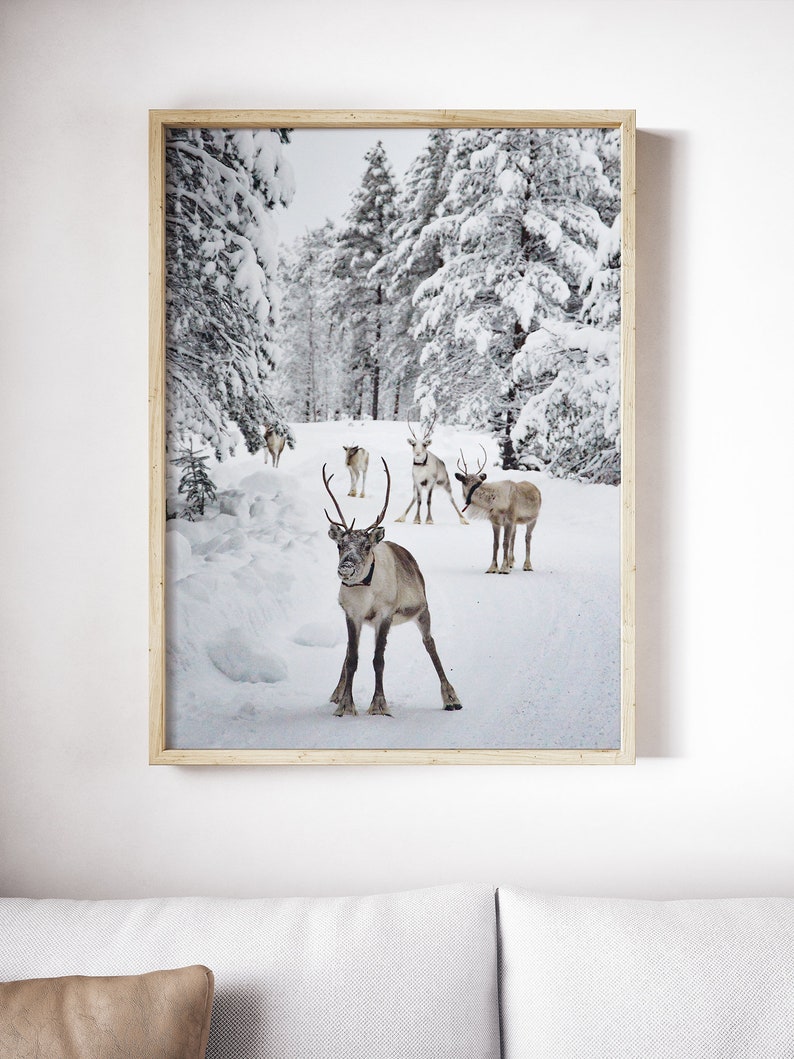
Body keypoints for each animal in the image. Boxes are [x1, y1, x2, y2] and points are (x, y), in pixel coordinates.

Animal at [323, 458, 462, 716]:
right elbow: (352, 658)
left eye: (366, 546)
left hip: (422, 611)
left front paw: (379, 705)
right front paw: (345, 705)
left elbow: (378, 660)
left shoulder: (385, 614)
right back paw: (335, 694)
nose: (346, 567)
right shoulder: (352, 615)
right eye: (339, 545)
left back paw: (451, 698)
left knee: (430, 644)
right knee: (347, 653)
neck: (364, 590)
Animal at [455, 447, 542, 575]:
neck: (494, 502)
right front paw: (492, 568)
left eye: (479, 482)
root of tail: (536, 489)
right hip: (516, 522)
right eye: (464, 481)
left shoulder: (508, 520)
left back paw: (527, 566)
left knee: (527, 538)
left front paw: (504, 568)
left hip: (533, 519)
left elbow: (505, 542)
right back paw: (511, 562)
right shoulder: (495, 522)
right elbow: (495, 544)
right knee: (514, 537)